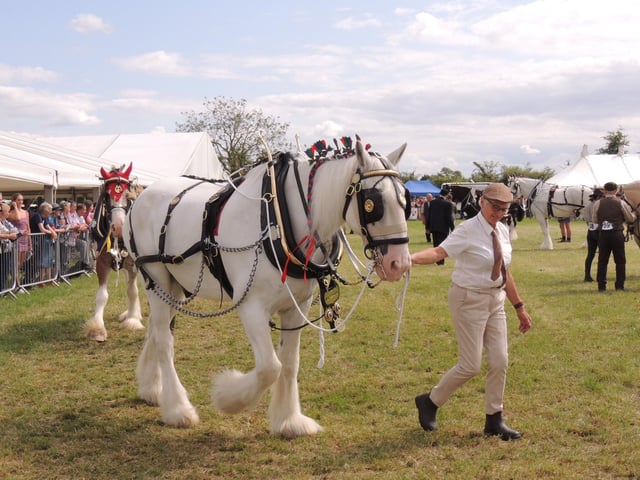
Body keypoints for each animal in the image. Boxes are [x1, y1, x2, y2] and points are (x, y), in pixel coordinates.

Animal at [84, 164, 144, 342]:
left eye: (127, 194)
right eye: (107, 195)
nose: (118, 227)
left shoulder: (132, 264)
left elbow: (132, 291)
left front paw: (133, 320)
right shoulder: (102, 263)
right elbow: (102, 296)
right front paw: (97, 328)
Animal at [123, 138, 412, 438]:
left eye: (405, 201)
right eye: (372, 203)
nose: (399, 263)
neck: (279, 219)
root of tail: (140, 197)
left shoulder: (297, 307)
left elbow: (290, 363)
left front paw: (289, 420)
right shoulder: (251, 308)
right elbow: (270, 367)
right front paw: (227, 397)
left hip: (174, 286)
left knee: (158, 331)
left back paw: (152, 388)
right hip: (155, 279)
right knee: (164, 341)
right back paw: (178, 409)